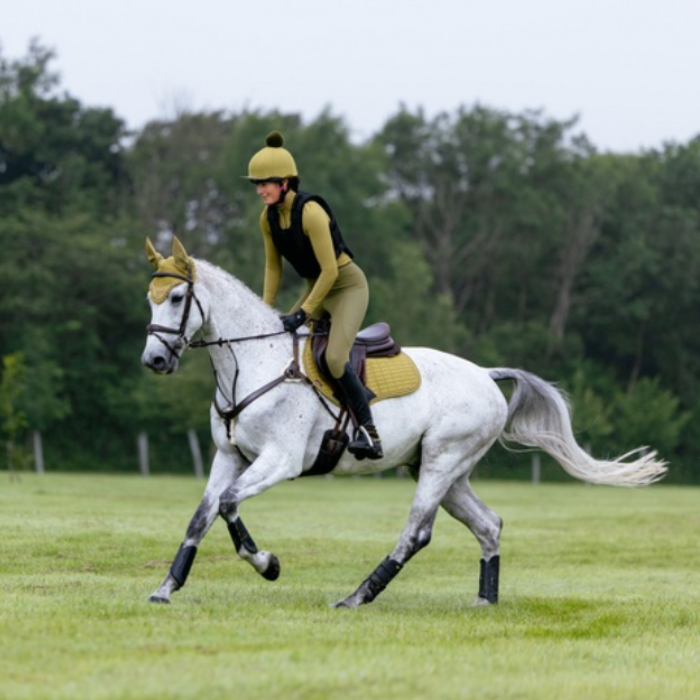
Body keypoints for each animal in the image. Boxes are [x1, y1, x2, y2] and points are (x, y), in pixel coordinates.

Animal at [140, 236, 667, 608]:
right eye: (150, 297)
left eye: (178, 297)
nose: (154, 361)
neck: (253, 360)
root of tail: (485, 373)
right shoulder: (230, 456)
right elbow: (203, 515)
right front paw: (167, 587)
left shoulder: (281, 460)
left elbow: (229, 505)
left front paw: (267, 564)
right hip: (443, 470)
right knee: (489, 525)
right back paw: (485, 600)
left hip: (440, 461)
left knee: (417, 532)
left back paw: (357, 596)